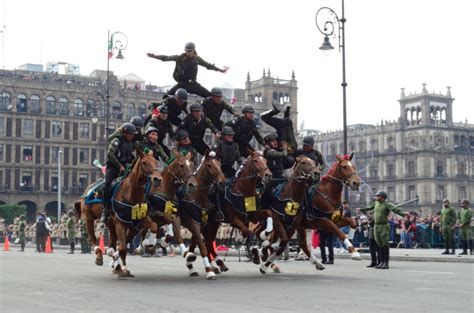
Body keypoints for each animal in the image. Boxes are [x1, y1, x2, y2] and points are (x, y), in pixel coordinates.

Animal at [180, 150, 228, 280]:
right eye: (209, 165)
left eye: (220, 165)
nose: (222, 182)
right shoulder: (195, 223)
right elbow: (202, 245)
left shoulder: (204, 224)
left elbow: (201, 243)